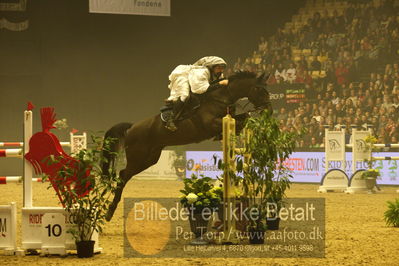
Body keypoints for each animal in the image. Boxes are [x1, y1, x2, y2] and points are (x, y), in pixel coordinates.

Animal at [101, 70, 274, 220]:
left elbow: (243, 117)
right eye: (259, 89)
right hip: (138, 156)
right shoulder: (211, 124)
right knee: (123, 175)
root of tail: (131, 127)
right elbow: (238, 121)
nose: (269, 110)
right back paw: (109, 211)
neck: (221, 98)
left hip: (149, 158)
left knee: (125, 174)